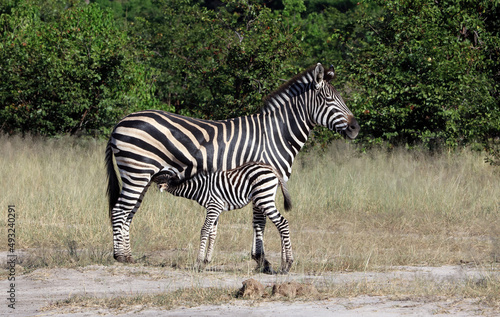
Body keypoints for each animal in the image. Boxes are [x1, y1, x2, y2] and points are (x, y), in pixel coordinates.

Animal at [153, 162, 292, 272]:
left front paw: (198, 263)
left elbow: (204, 230)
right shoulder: (215, 209)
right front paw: (206, 262)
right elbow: (212, 233)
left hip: (264, 198)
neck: (199, 188)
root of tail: (270, 168)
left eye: (158, 175)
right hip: (264, 198)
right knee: (279, 225)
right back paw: (282, 265)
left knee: (282, 223)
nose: (149, 179)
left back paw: (288, 264)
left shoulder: (213, 206)